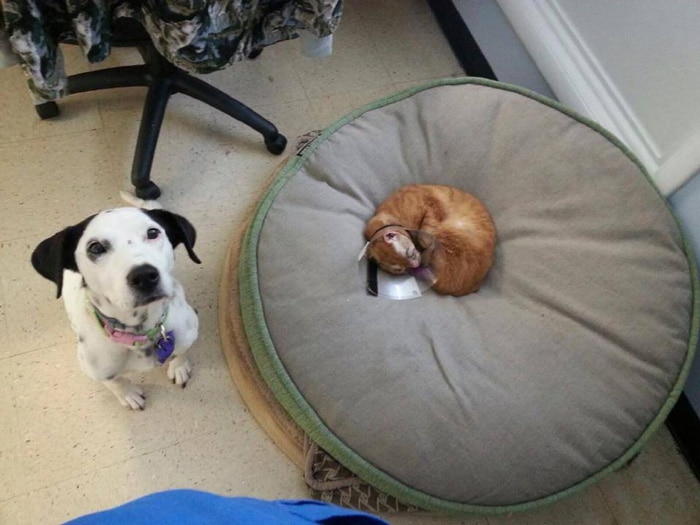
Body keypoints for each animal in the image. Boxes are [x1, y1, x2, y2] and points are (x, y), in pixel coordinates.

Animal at [33, 206, 201, 410]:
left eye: (153, 232)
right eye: (95, 247)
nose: (144, 275)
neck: (140, 334)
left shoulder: (186, 335)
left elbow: (181, 351)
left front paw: (179, 367)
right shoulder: (97, 370)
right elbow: (114, 381)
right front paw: (128, 394)